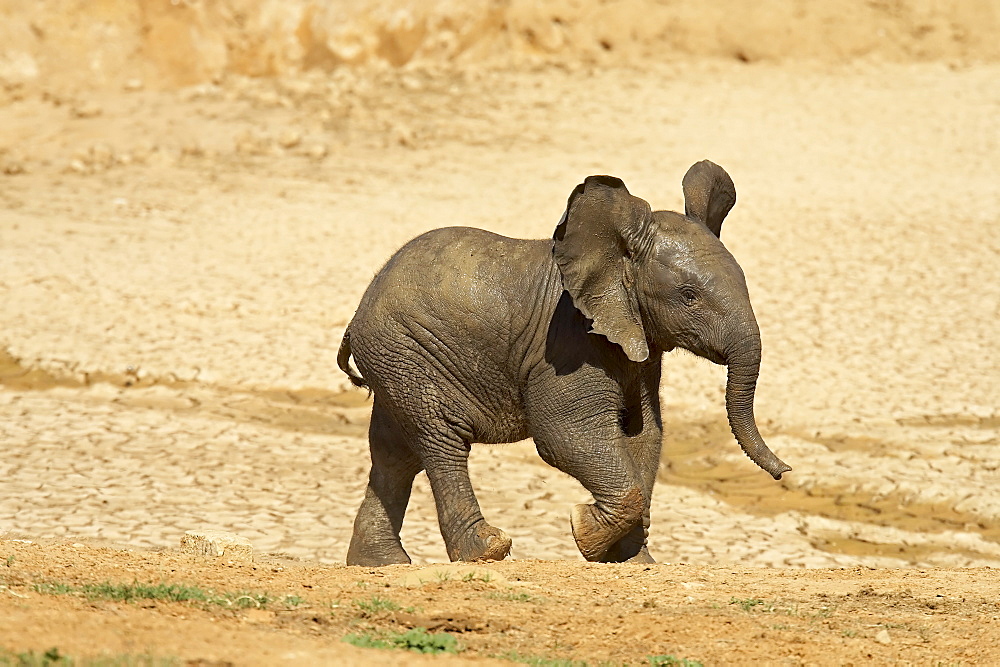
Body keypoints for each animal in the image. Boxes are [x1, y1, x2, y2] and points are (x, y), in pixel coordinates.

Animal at [338, 160, 788, 564]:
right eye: (689, 295)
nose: (784, 472)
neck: (616, 257)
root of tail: (360, 310)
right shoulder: (568, 344)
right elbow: (564, 435)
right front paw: (583, 528)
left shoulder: (637, 350)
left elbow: (644, 437)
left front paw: (633, 562)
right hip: (408, 352)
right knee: (441, 440)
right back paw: (485, 552)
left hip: (396, 361)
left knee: (395, 453)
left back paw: (380, 563)